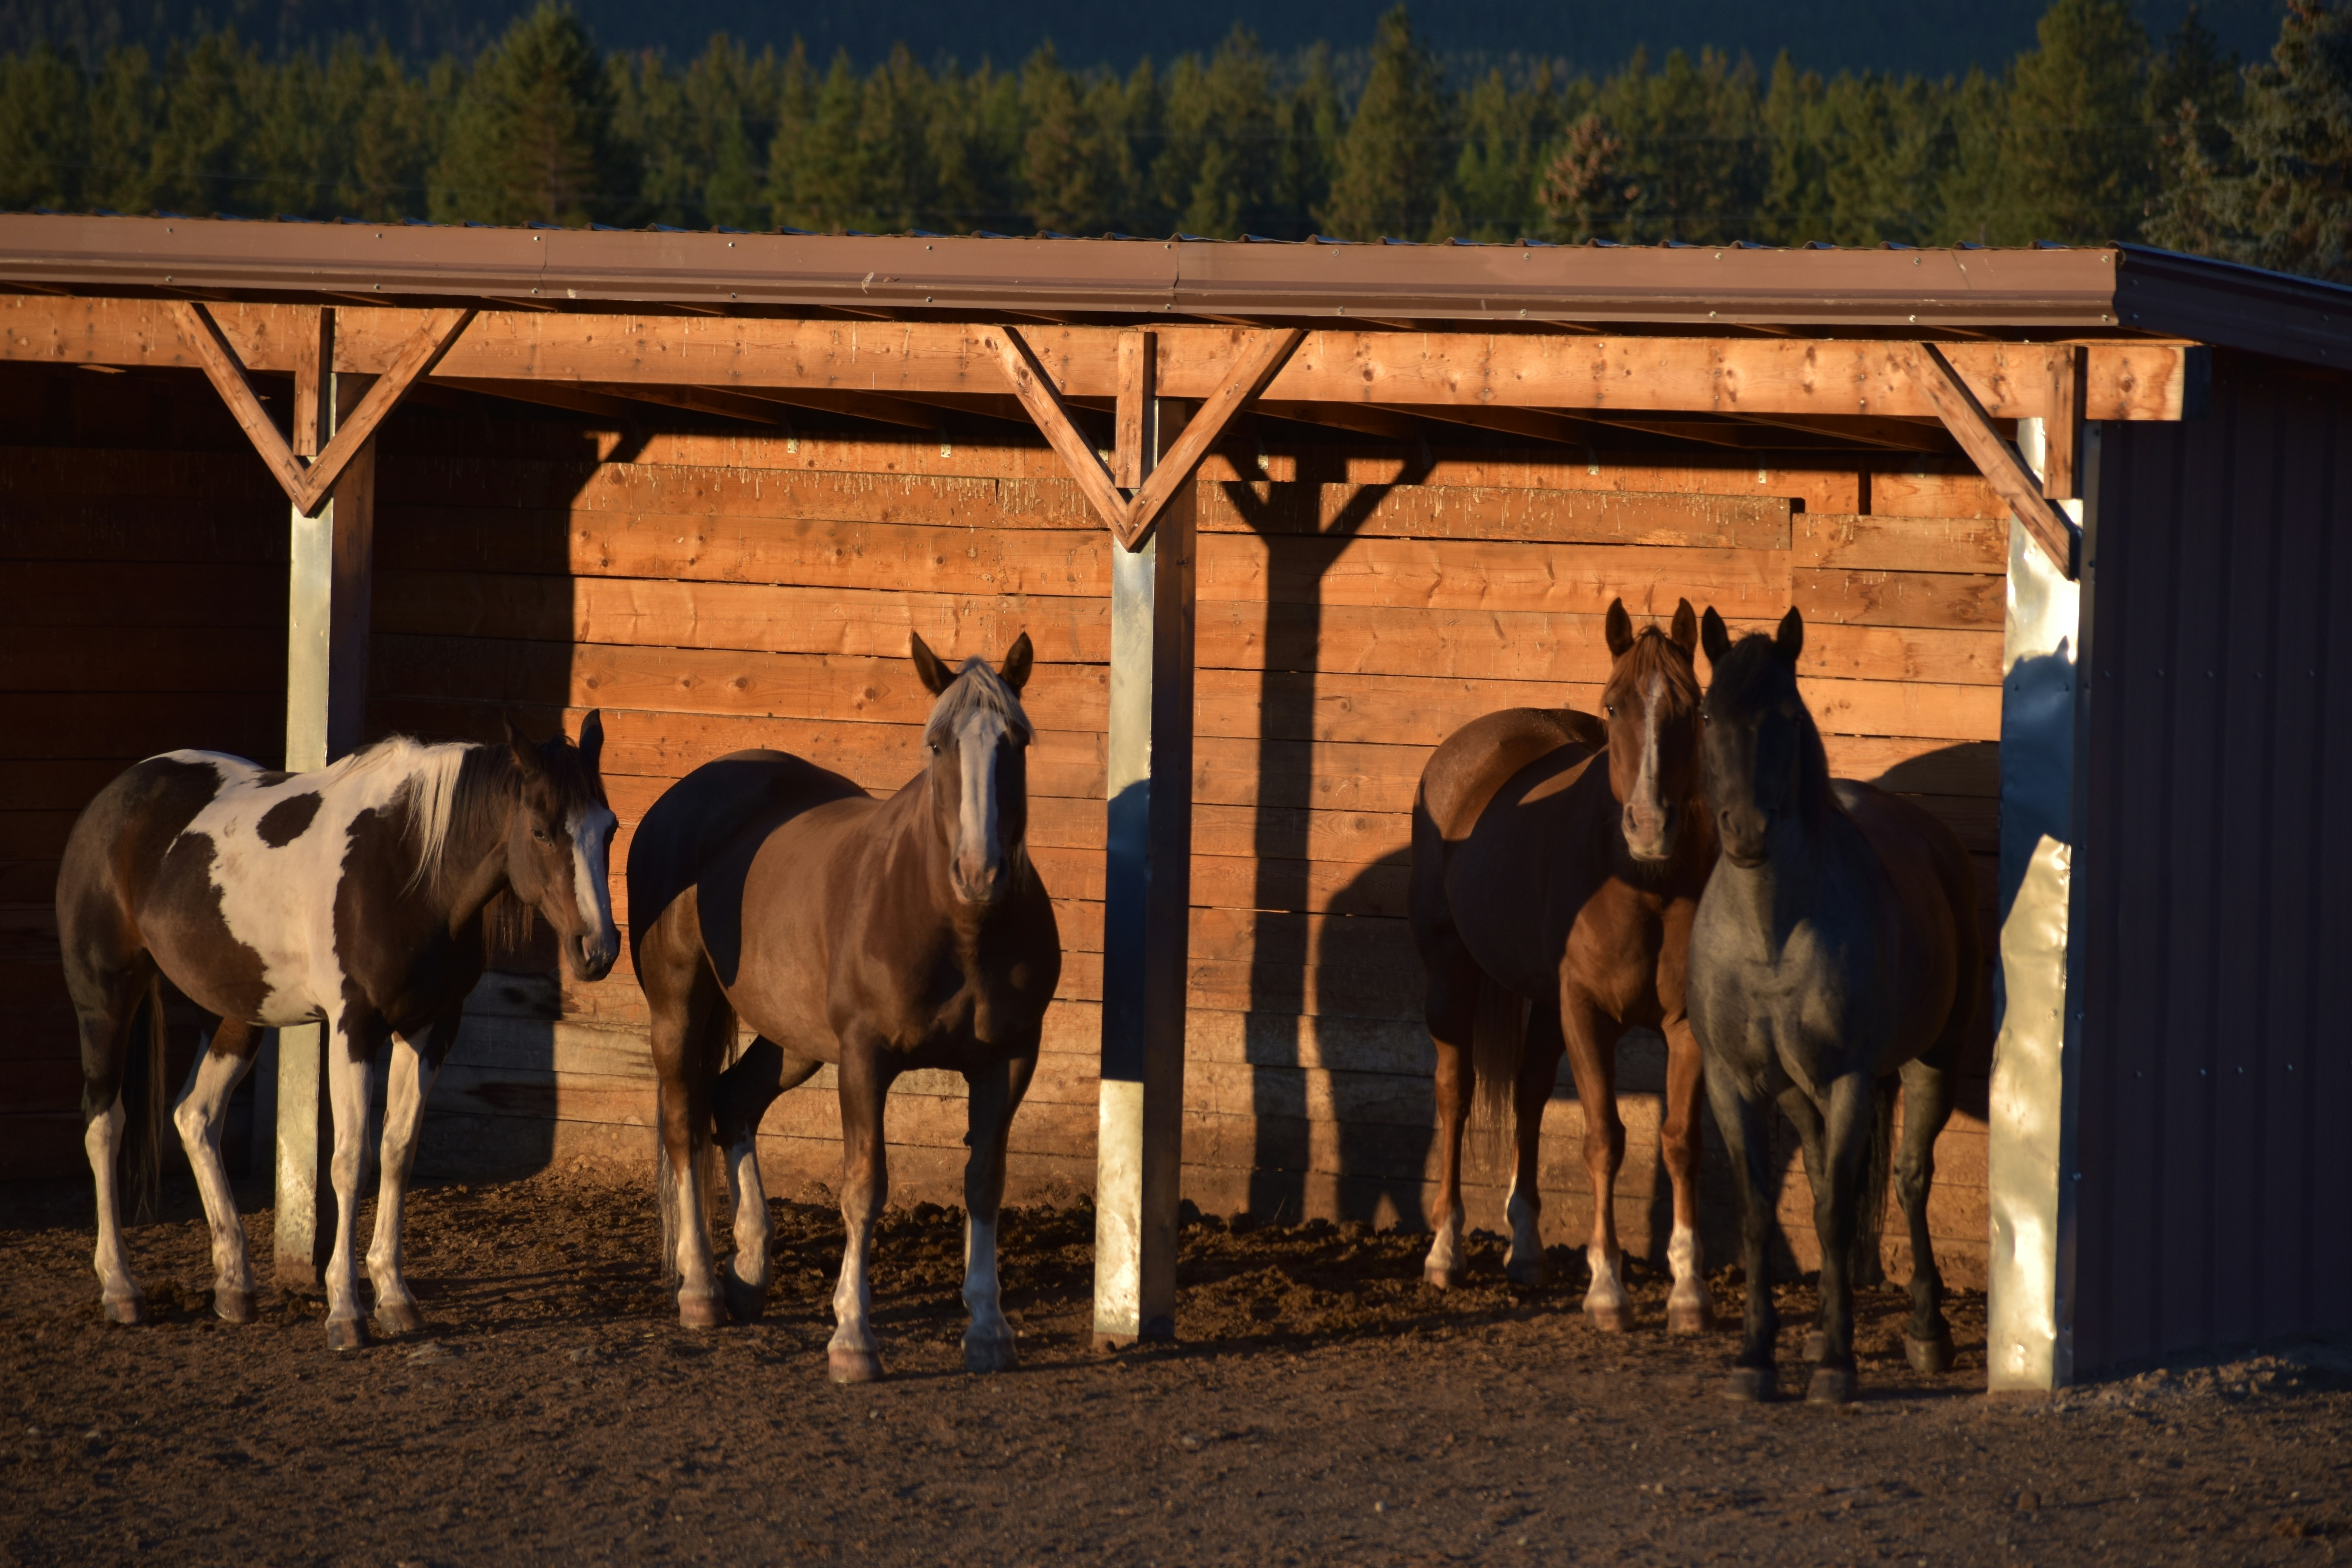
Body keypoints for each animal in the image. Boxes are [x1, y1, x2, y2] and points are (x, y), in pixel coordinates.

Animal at [56, 717, 620, 1349]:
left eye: (610, 829)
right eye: (543, 831)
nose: (598, 950)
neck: (409, 870)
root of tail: (114, 798)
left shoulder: (430, 1029)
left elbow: (397, 1152)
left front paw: (395, 1298)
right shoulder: (356, 1028)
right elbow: (350, 1161)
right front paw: (346, 1310)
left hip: (235, 1015)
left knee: (195, 1117)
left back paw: (234, 1285)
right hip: (104, 1000)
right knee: (105, 1125)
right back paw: (121, 1288)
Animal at [627, 632, 1060, 1384]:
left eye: (1018, 740)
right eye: (938, 744)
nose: (979, 873)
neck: (958, 927)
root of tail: (683, 798)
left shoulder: (1009, 1060)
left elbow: (984, 1182)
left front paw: (989, 1329)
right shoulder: (865, 1057)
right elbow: (863, 1187)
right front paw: (853, 1338)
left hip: (793, 1038)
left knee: (734, 1101)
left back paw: (749, 1271)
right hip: (677, 1009)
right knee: (684, 1124)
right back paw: (702, 1290)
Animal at [1408, 597, 1718, 1333]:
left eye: (1692, 709)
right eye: (1612, 706)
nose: (1649, 826)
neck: (1641, 882)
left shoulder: (1683, 1025)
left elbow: (1680, 1141)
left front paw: (1688, 1292)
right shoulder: (1587, 1013)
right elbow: (1604, 1138)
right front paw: (1607, 1290)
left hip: (1544, 1005)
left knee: (1527, 1096)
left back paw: (1524, 1250)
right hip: (1451, 977)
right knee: (1455, 1093)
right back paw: (1446, 1251)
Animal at [1688, 606, 1977, 1403]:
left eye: (1788, 715)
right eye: (1706, 713)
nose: (1747, 832)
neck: (1771, 934)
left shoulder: (1850, 1081)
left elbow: (1839, 1213)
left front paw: (1838, 1368)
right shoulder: (1733, 1085)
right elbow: (1764, 1212)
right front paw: (1756, 1359)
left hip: (1932, 1061)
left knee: (1908, 1180)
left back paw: (1927, 1333)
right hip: (1797, 1093)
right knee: (1824, 1175)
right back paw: (1821, 1326)